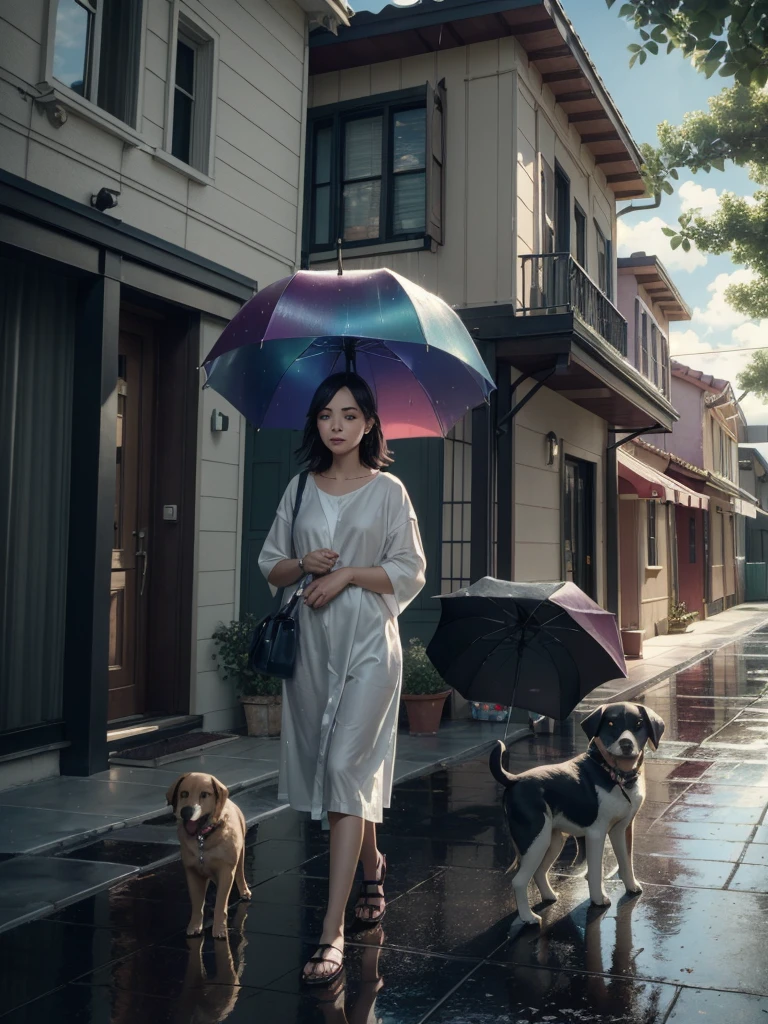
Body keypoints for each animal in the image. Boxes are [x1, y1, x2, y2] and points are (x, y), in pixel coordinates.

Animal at [166, 774, 253, 937]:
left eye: (204, 794)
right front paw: (195, 926)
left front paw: (219, 928)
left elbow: (220, 902)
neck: (203, 837)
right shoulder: (193, 872)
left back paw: (244, 891)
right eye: (184, 794)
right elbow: (197, 902)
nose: (186, 811)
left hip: (241, 853)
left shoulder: (226, 870)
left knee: (240, 872)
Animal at [493, 704, 667, 929]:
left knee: (540, 871)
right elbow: (595, 870)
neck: (614, 773)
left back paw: (549, 896)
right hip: (535, 840)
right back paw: (528, 917)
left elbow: (626, 860)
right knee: (519, 881)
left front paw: (631, 887)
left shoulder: (622, 828)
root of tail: (513, 779)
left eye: (639, 724)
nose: (626, 744)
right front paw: (599, 899)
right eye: (611, 723)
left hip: (552, 840)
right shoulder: (596, 833)